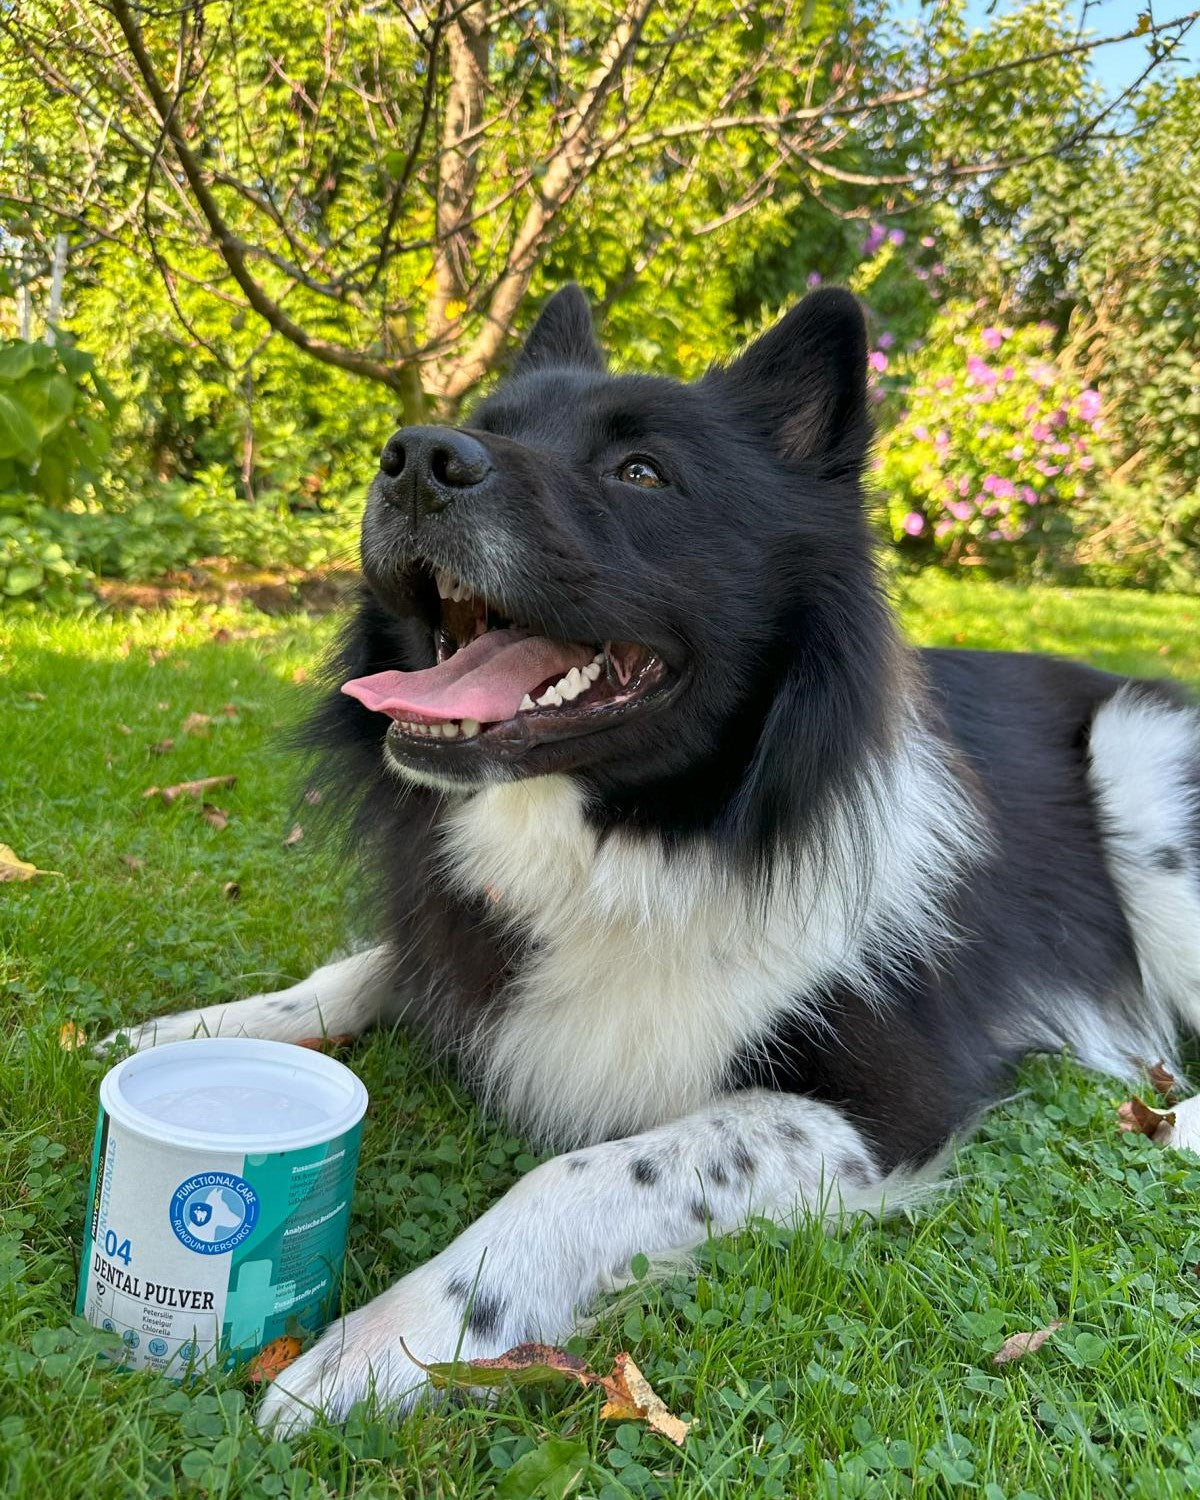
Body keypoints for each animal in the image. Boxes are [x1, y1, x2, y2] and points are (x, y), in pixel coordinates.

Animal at [112, 283, 1200, 1428]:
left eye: (641, 473)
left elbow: (587, 1173)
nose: (412, 458)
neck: (643, 836)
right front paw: (191, 1033)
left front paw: (397, 1335)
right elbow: (362, 972)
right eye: (491, 425)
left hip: (1140, 763)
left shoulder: (885, 1108)